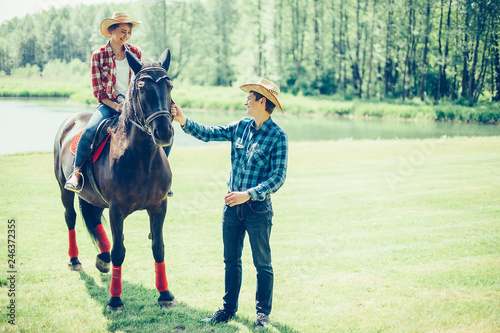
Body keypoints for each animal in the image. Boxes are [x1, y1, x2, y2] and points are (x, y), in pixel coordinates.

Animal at [54, 48, 176, 310]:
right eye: (142, 88)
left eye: (169, 86)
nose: (163, 131)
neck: (142, 159)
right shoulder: (117, 210)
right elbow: (120, 250)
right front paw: (115, 299)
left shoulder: (159, 206)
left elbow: (158, 248)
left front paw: (165, 294)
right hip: (65, 189)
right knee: (71, 217)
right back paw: (75, 259)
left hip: (93, 198)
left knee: (92, 216)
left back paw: (103, 257)